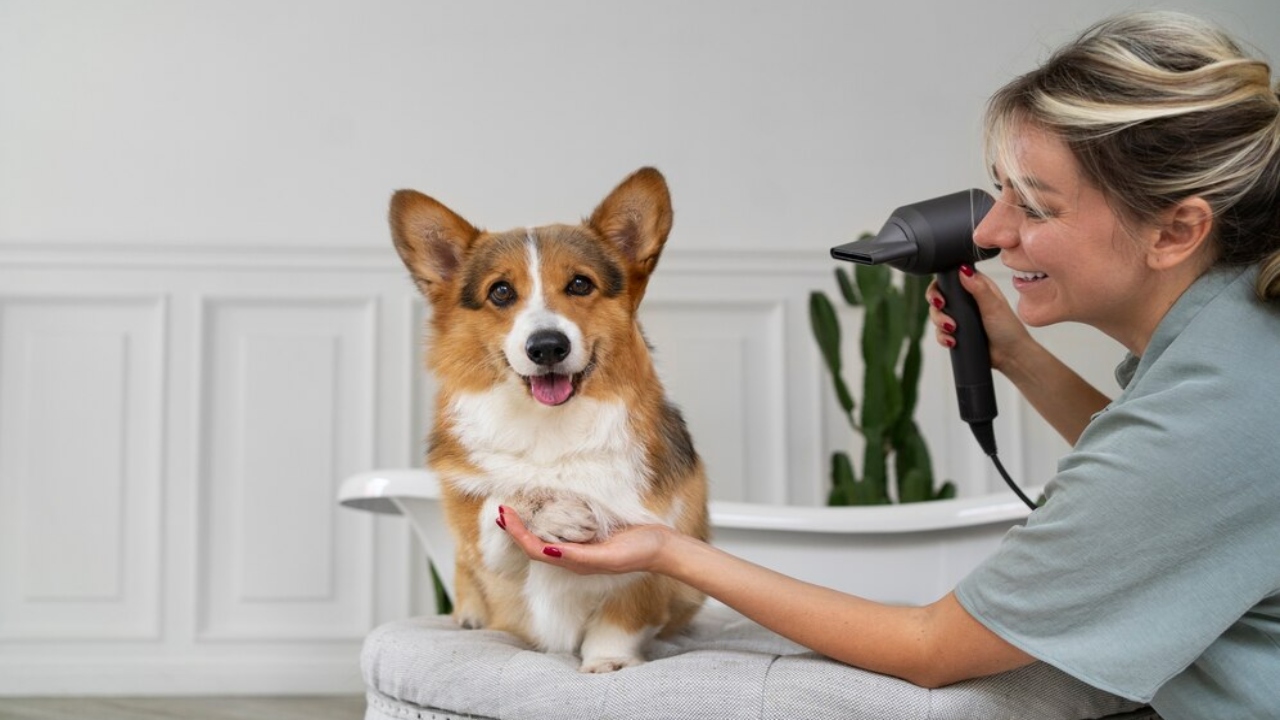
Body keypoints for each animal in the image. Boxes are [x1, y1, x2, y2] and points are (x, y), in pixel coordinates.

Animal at [389, 165, 711, 671]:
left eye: (580, 284)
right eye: (501, 291)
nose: (546, 347)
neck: (550, 427)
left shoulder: (654, 563)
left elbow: (620, 620)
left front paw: (608, 663)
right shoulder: (484, 547)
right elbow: (499, 503)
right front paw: (549, 509)